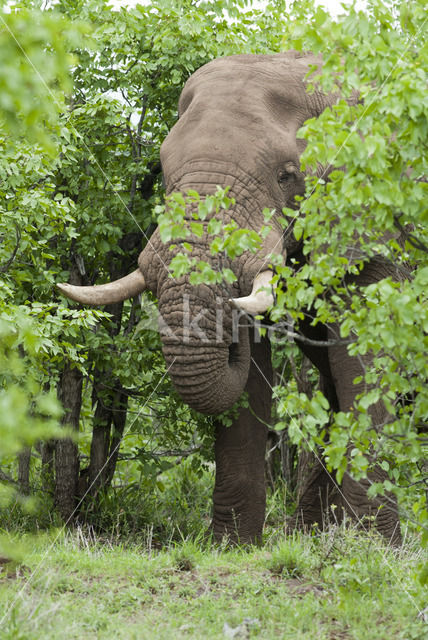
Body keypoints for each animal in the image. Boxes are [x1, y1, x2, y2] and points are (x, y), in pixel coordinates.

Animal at [58, 53, 402, 544]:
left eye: (286, 176)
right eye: (163, 173)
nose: (229, 335)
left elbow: (364, 360)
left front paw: (376, 546)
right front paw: (233, 547)